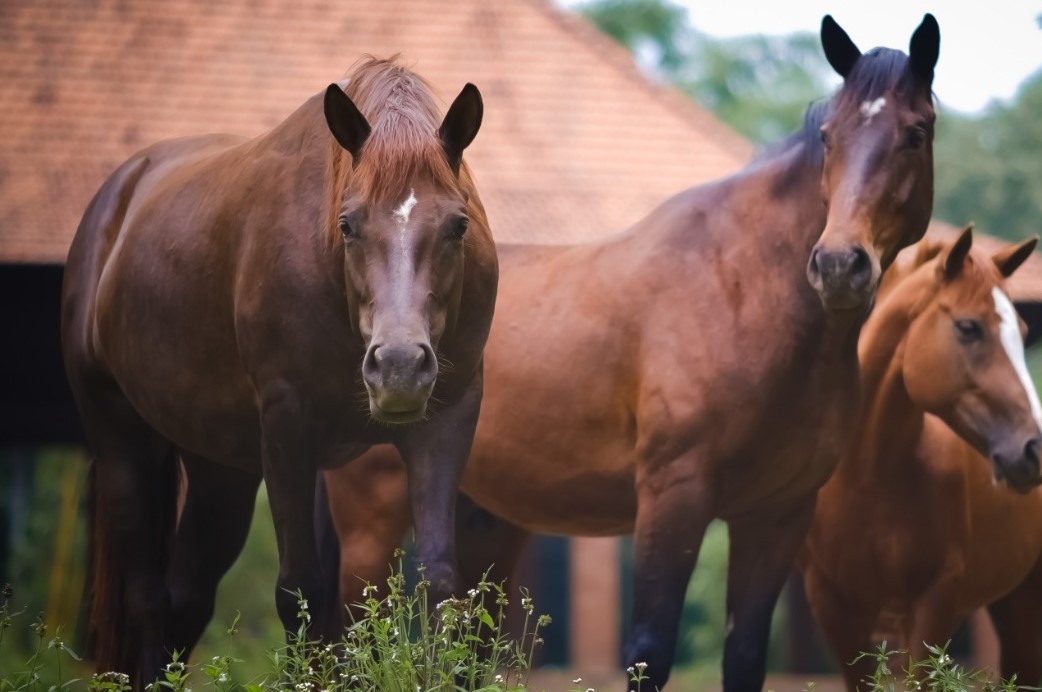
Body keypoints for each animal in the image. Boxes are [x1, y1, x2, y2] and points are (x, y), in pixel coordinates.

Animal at [59, 56, 498, 683]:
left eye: (458, 225)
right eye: (348, 224)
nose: (397, 366)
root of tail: (118, 198)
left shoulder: (446, 422)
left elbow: (440, 586)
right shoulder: (288, 427)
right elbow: (299, 593)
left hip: (221, 470)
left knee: (185, 601)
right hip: (121, 441)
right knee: (145, 596)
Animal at [320, 17, 941, 691]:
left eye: (915, 133)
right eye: (829, 137)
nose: (837, 265)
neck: (741, 290)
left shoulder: (777, 516)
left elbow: (746, 656)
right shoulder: (674, 498)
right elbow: (649, 649)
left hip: (477, 521)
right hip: (371, 524)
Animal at [800, 226, 1042, 687]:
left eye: (1022, 332)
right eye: (968, 327)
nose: (1033, 449)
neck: (868, 476)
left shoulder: (934, 601)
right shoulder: (833, 606)